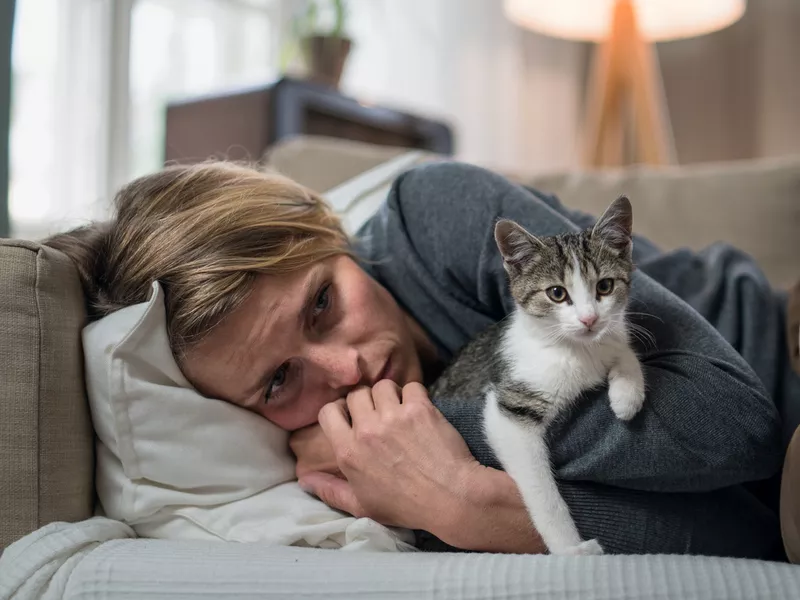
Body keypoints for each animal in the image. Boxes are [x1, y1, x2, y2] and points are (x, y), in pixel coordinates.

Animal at [432, 197, 644, 556]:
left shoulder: (609, 337)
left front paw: (627, 396)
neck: (576, 350)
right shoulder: (512, 409)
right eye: (556, 293)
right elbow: (541, 489)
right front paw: (571, 549)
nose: (589, 319)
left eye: (605, 286)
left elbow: (622, 348)